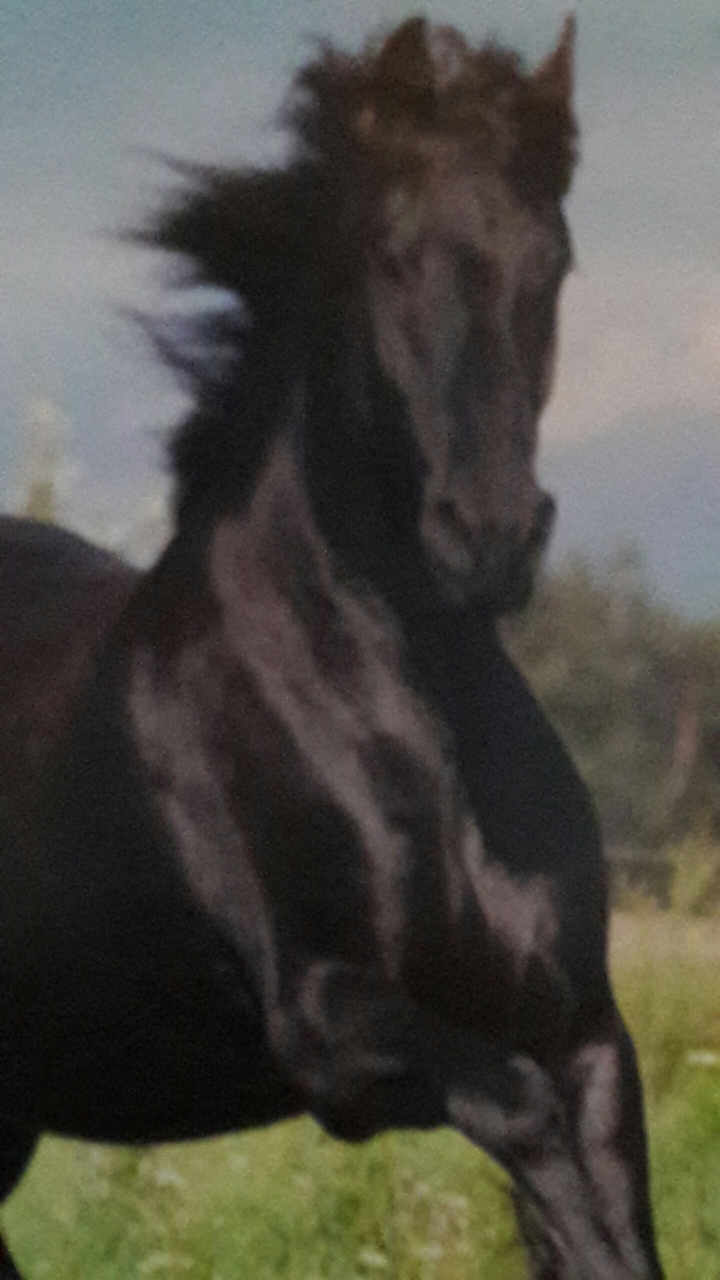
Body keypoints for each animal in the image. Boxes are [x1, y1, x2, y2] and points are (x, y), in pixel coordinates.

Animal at [0, 17, 664, 1279]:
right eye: (392, 260)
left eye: (552, 262)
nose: (489, 534)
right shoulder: (328, 1024)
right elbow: (526, 1119)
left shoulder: (582, 1025)